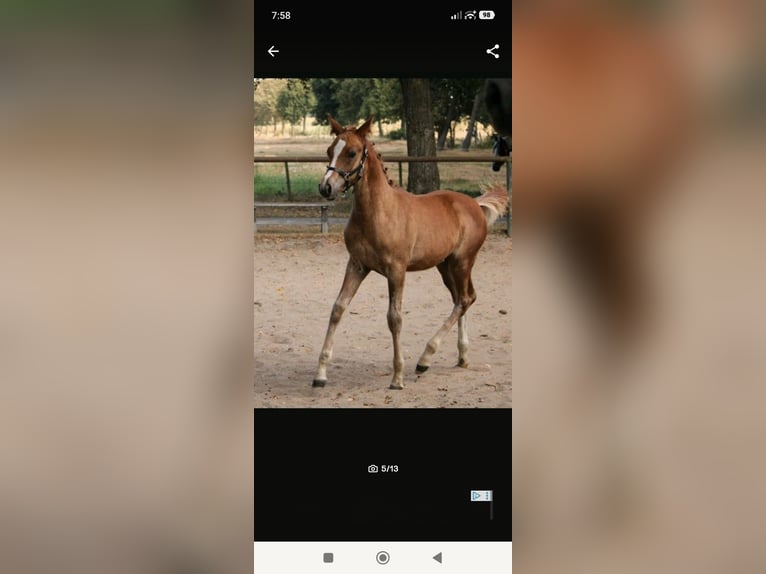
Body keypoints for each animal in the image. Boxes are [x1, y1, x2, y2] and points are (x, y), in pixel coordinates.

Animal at [312, 115, 509, 389]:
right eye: (330, 151)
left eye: (351, 152)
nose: (326, 187)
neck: (378, 212)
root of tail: (475, 204)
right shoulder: (357, 265)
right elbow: (338, 309)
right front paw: (320, 374)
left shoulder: (396, 270)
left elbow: (394, 318)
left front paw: (397, 377)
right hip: (445, 266)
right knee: (462, 298)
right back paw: (462, 356)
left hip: (463, 261)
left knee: (464, 299)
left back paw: (425, 358)